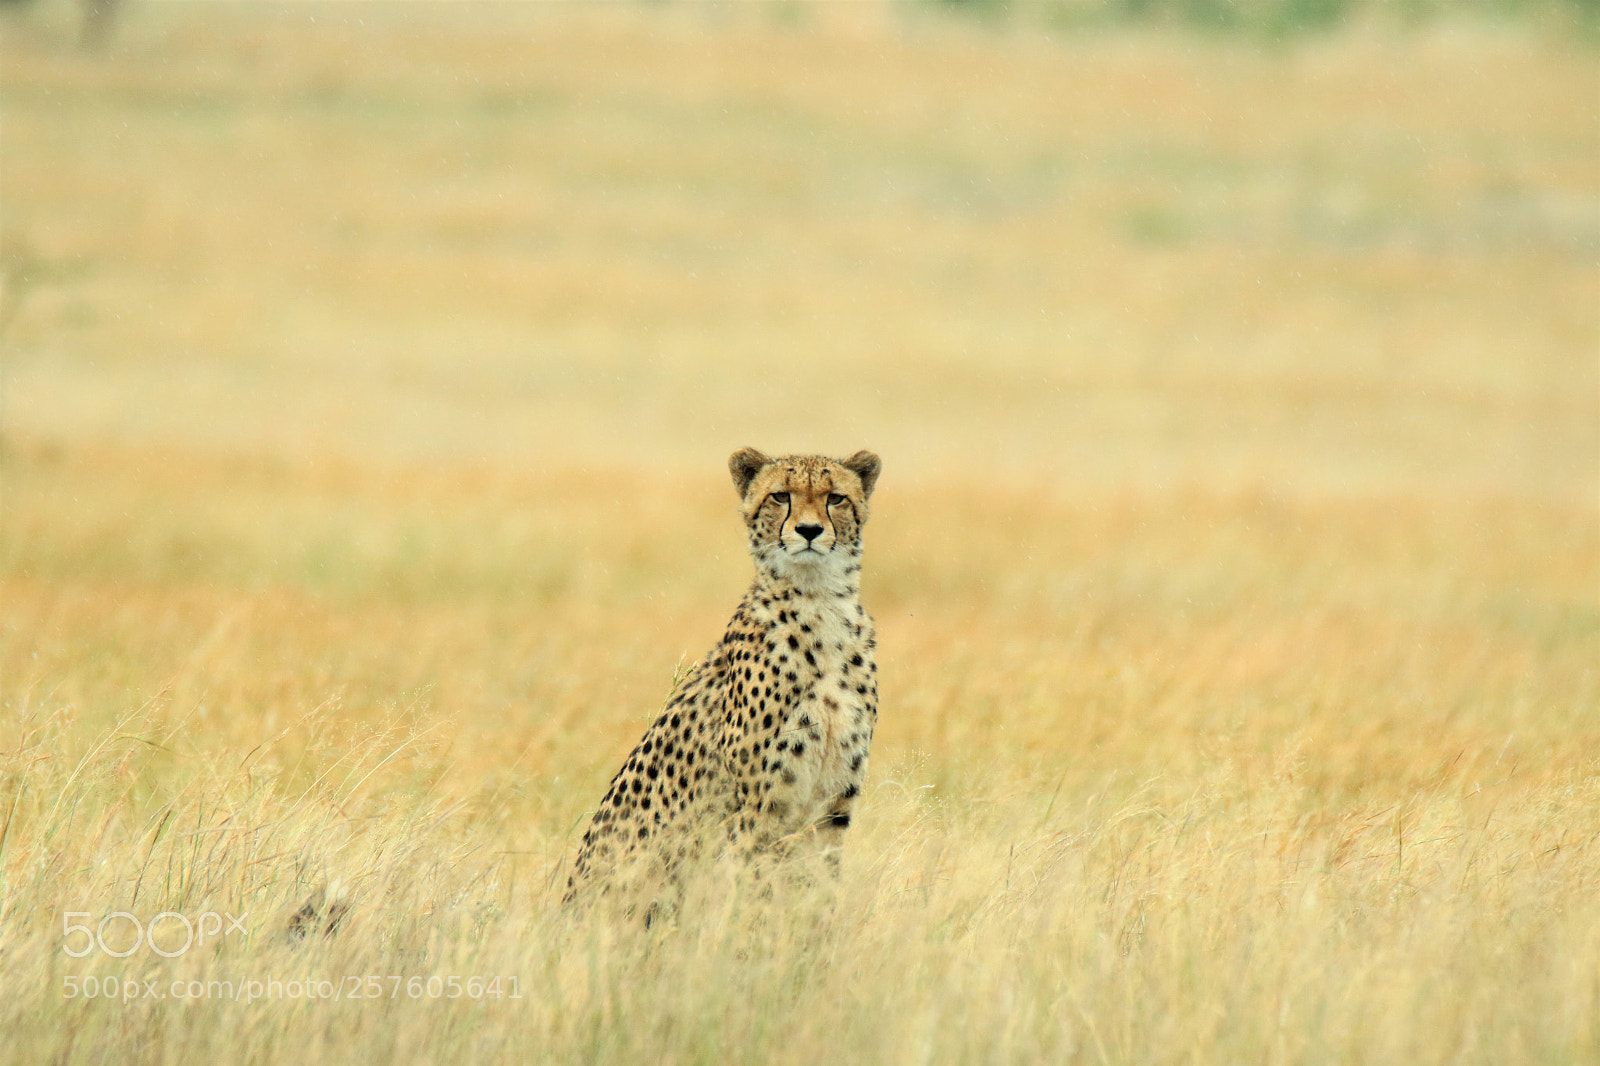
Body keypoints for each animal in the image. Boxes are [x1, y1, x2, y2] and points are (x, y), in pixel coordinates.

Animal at [563, 447, 882, 915]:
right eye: (780, 496)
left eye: (835, 498)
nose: (809, 531)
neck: (818, 603)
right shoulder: (759, 808)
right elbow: (754, 893)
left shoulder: (832, 810)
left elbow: (819, 893)